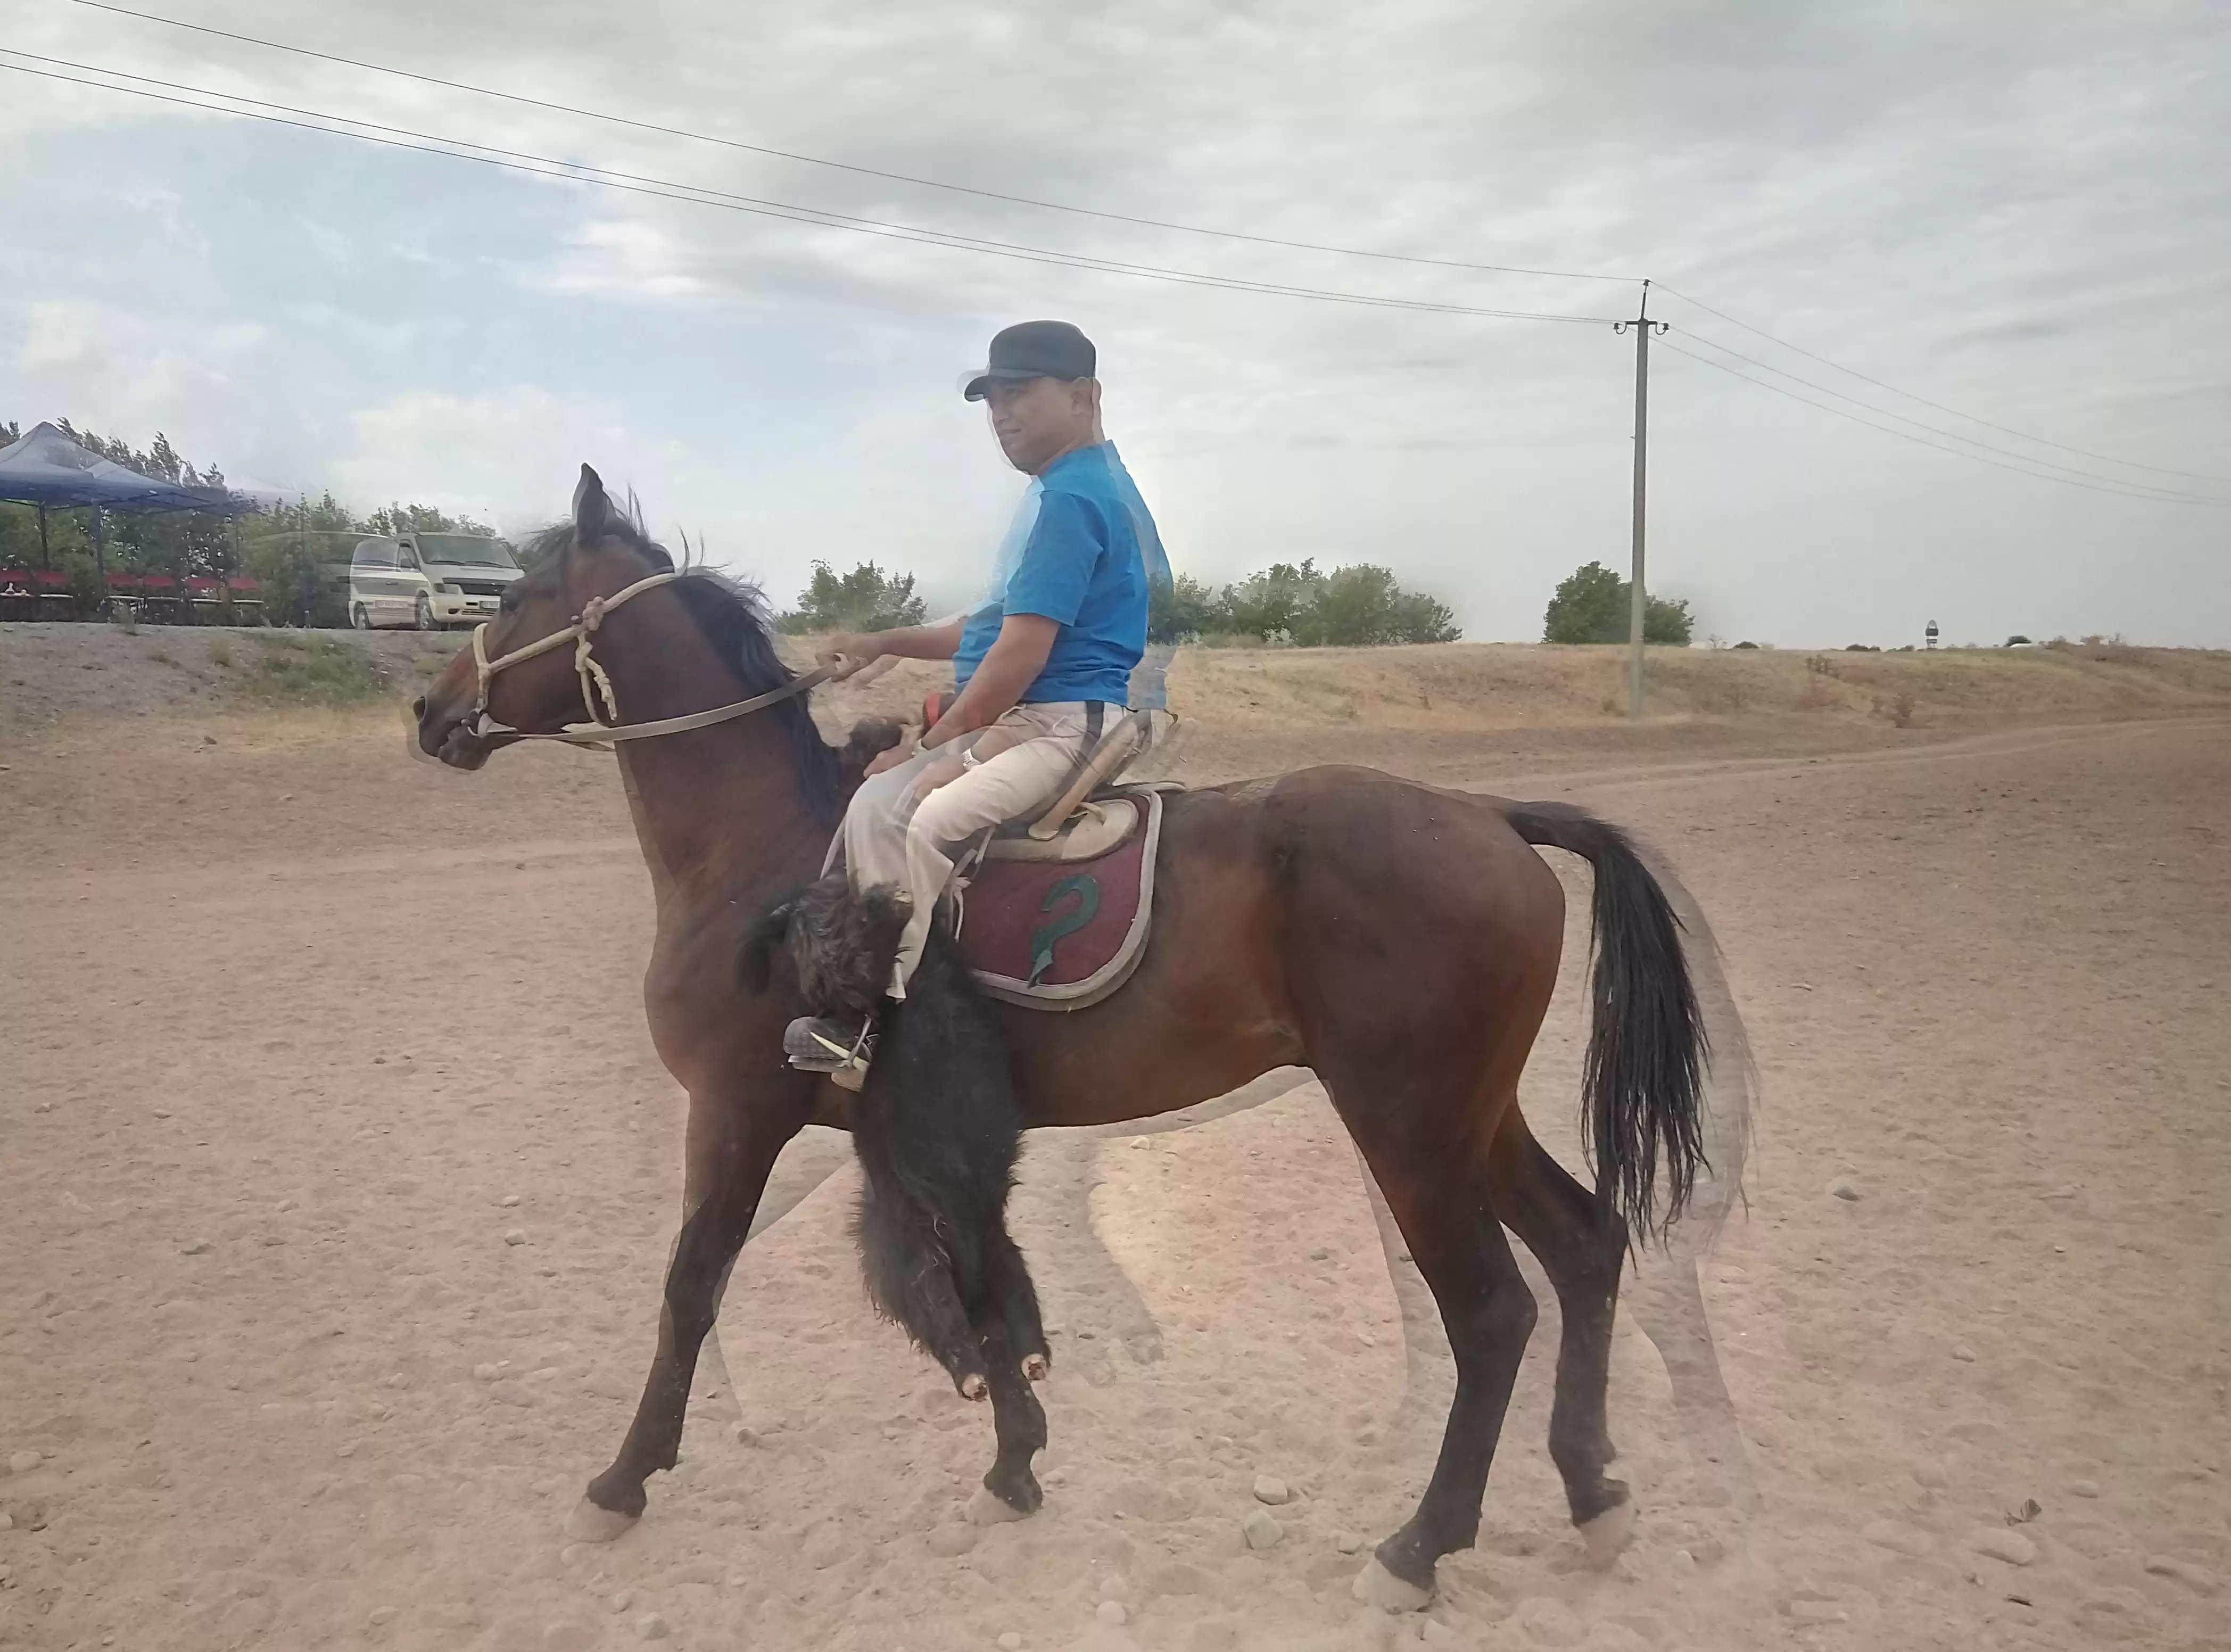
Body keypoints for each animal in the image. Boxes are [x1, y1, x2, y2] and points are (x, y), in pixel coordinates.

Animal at [413, 465, 1717, 1609]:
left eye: (519, 594)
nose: (428, 710)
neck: (761, 856)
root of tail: (1487, 815)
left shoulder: (735, 1111)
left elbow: (691, 1286)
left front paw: (622, 1477)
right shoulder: (919, 1133)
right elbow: (981, 1277)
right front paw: (1015, 1455)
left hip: (1407, 1128)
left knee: (1493, 1313)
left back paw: (1418, 1546)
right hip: (1469, 1118)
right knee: (1586, 1244)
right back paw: (1593, 1489)